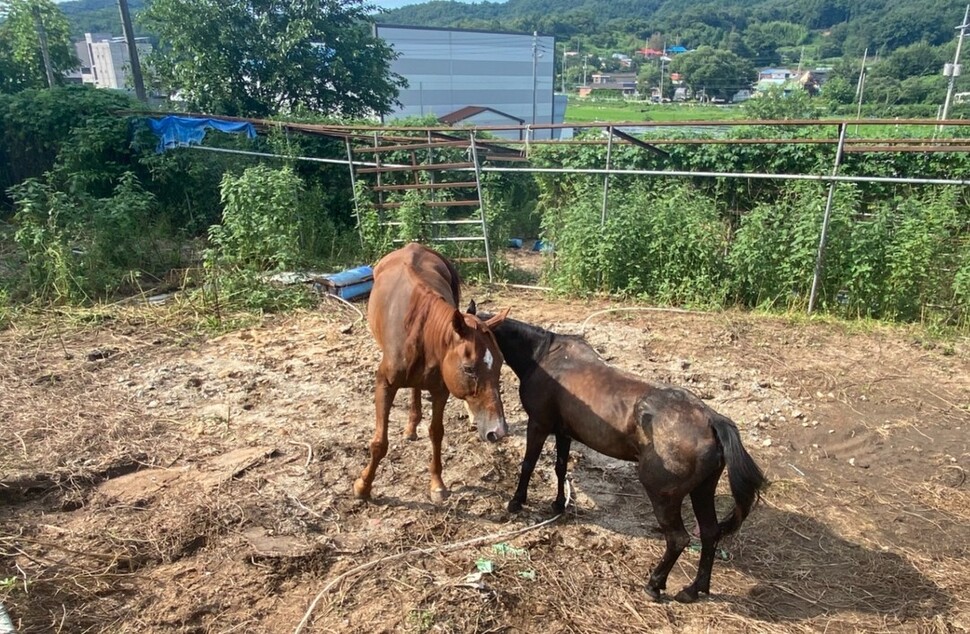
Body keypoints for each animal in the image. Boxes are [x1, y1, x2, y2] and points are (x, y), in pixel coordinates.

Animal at [354, 244, 506, 502]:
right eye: (469, 368)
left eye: (500, 365)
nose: (499, 431)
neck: (421, 329)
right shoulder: (384, 384)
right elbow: (379, 443)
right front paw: (363, 486)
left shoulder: (440, 390)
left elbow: (436, 433)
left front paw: (437, 484)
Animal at [468, 304, 764, 600]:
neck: (545, 356)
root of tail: (712, 419)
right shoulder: (563, 432)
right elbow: (560, 467)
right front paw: (558, 503)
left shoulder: (539, 425)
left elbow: (528, 464)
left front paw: (516, 502)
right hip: (703, 490)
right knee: (710, 533)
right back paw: (694, 589)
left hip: (663, 496)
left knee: (678, 539)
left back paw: (654, 584)